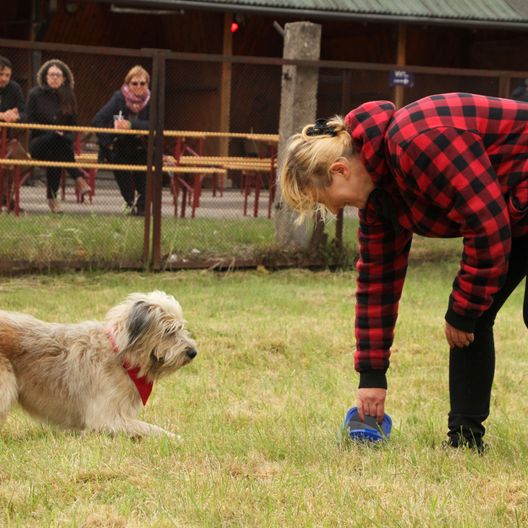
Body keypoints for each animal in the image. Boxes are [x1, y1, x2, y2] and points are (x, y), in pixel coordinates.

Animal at [0, 290, 197, 436]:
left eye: (181, 327)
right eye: (169, 331)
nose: (193, 352)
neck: (121, 357)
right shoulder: (108, 419)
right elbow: (152, 429)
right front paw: (176, 438)